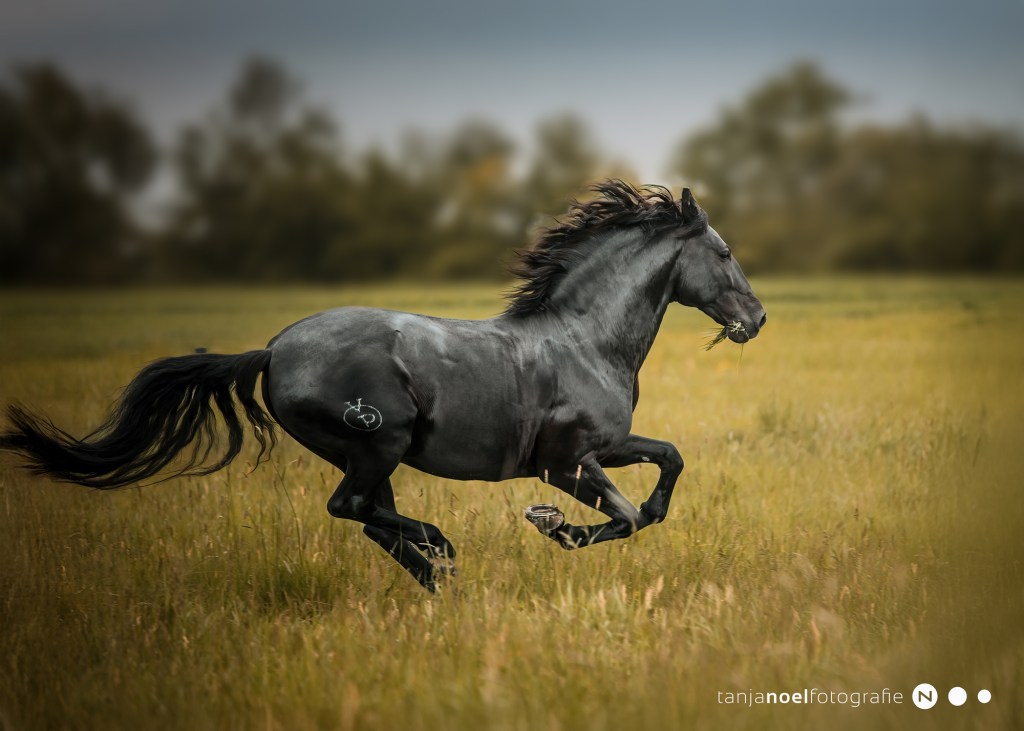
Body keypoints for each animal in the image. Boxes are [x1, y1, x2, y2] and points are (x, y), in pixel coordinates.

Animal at [0, 181, 766, 592]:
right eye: (724, 251)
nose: (755, 319)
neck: (584, 339)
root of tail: (272, 351)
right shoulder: (564, 461)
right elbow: (626, 516)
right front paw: (551, 524)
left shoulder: (608, 445)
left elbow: (667, 465)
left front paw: (568, 524)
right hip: (378, 442)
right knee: (355, 508)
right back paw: (441, 550)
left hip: (371, 452)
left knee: (368, 515)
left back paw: (438, 571)